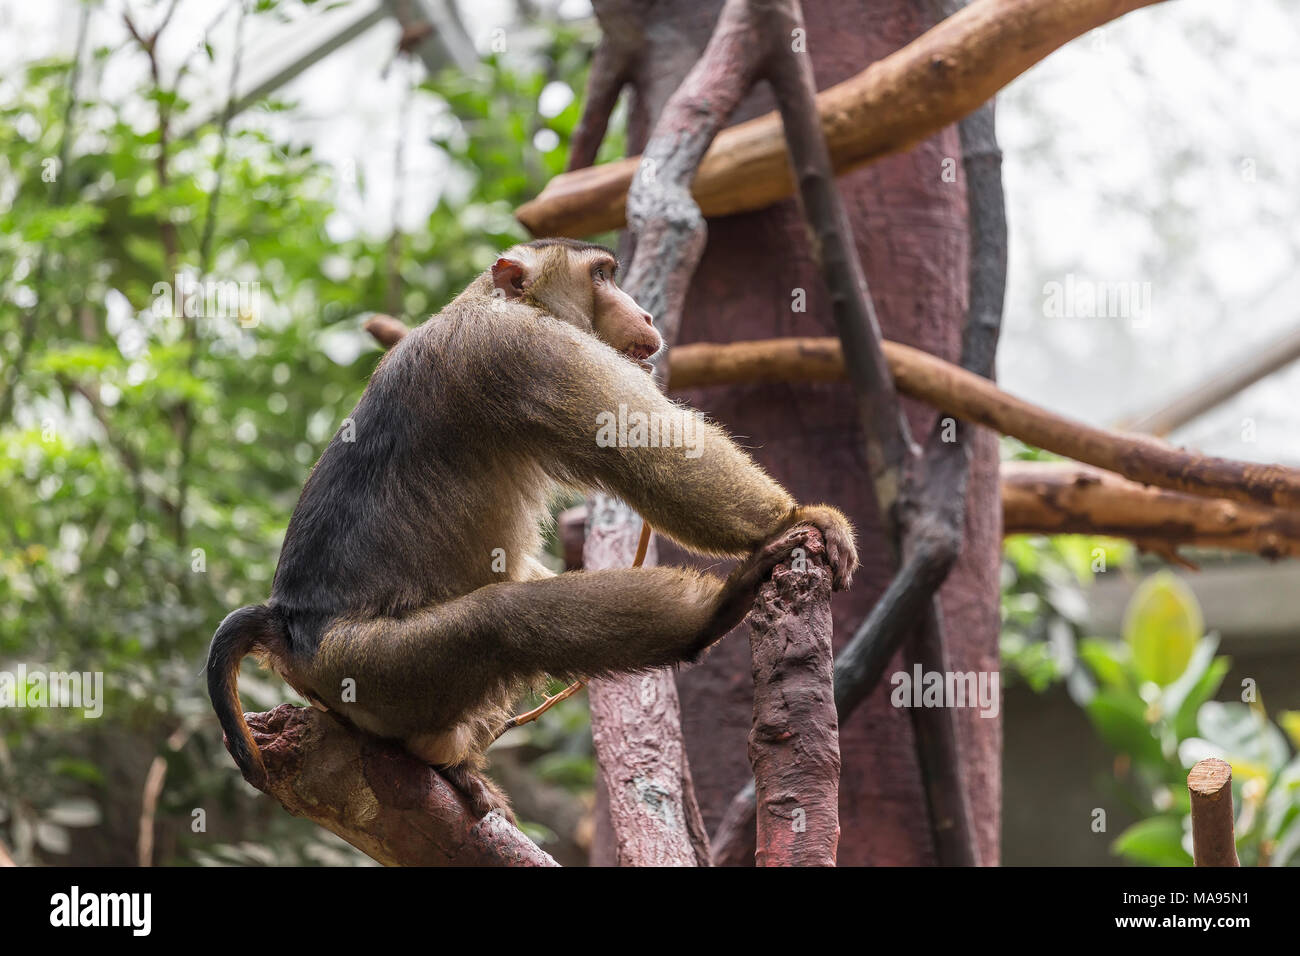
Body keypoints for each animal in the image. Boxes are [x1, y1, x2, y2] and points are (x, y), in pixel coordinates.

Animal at [208, 235, 857, 816]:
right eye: (602, 276)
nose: (645, 312)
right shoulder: (528, 348)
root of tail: (287, 624)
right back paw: (713, 613)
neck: (494, 302)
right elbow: (651, 452)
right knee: (505, 622)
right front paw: (797, 517)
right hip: (362, 669)